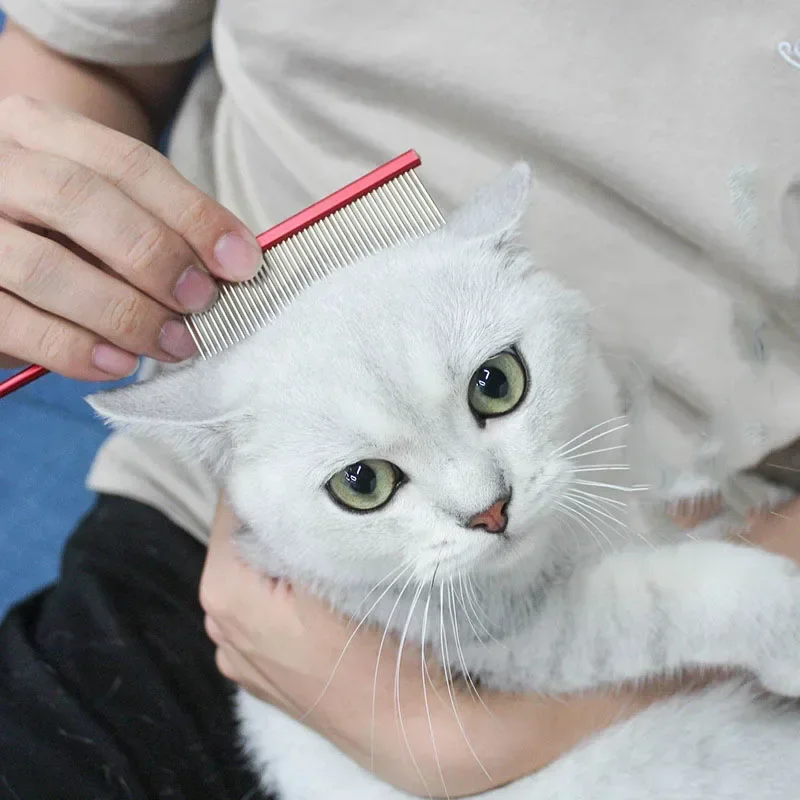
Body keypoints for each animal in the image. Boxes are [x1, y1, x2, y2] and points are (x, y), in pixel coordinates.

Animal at [90, 164, 800, 800]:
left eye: (497, 382)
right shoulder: (507, 645)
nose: (490, 510)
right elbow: (657, 598)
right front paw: (779, 620)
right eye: (361, 483)